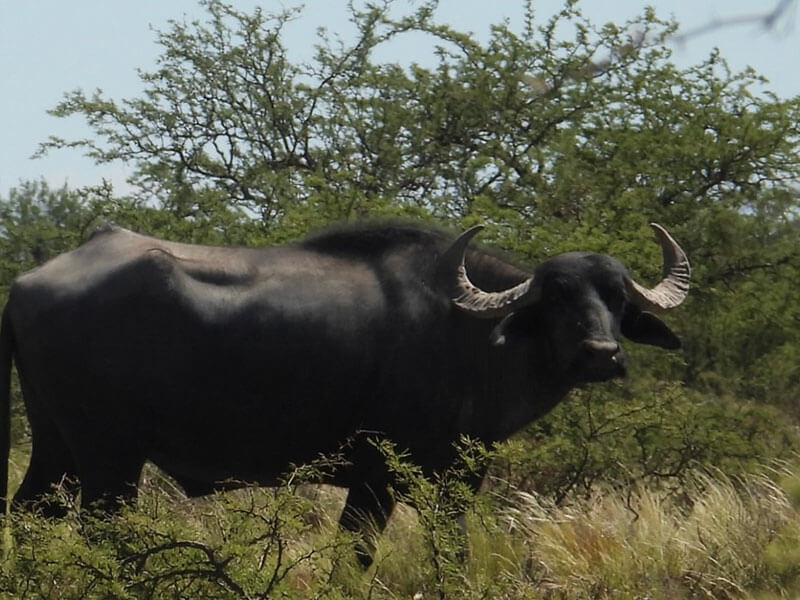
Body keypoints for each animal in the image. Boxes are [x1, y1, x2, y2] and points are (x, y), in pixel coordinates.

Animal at [0, 222, 689, 565]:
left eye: (615, 297)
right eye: (558, 298)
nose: (602, 354)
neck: (464, 333)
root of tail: (27, 283)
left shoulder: (458, 479)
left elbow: (446, 555)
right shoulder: (379, 477)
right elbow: (357, 559)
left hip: (57, 450)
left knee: (28, 517)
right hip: (109, 459)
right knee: (103, 535)